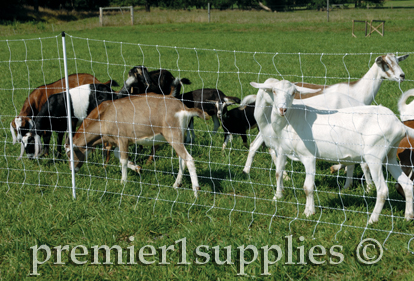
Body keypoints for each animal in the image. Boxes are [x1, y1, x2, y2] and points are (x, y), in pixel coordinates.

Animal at [251, 79, 414, 223]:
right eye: (273, 91)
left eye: (293, 93)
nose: (282, 109)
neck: (291, 119)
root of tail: (399, 125)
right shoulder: (283, 151)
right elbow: (278, 173)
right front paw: (277, 197)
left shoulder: (308, 156)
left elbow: (308, 187)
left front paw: (309, 212)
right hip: (390, 156)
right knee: (406, 184)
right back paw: (408, 217)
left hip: (374, 156)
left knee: (382, 190)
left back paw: (372, 220)